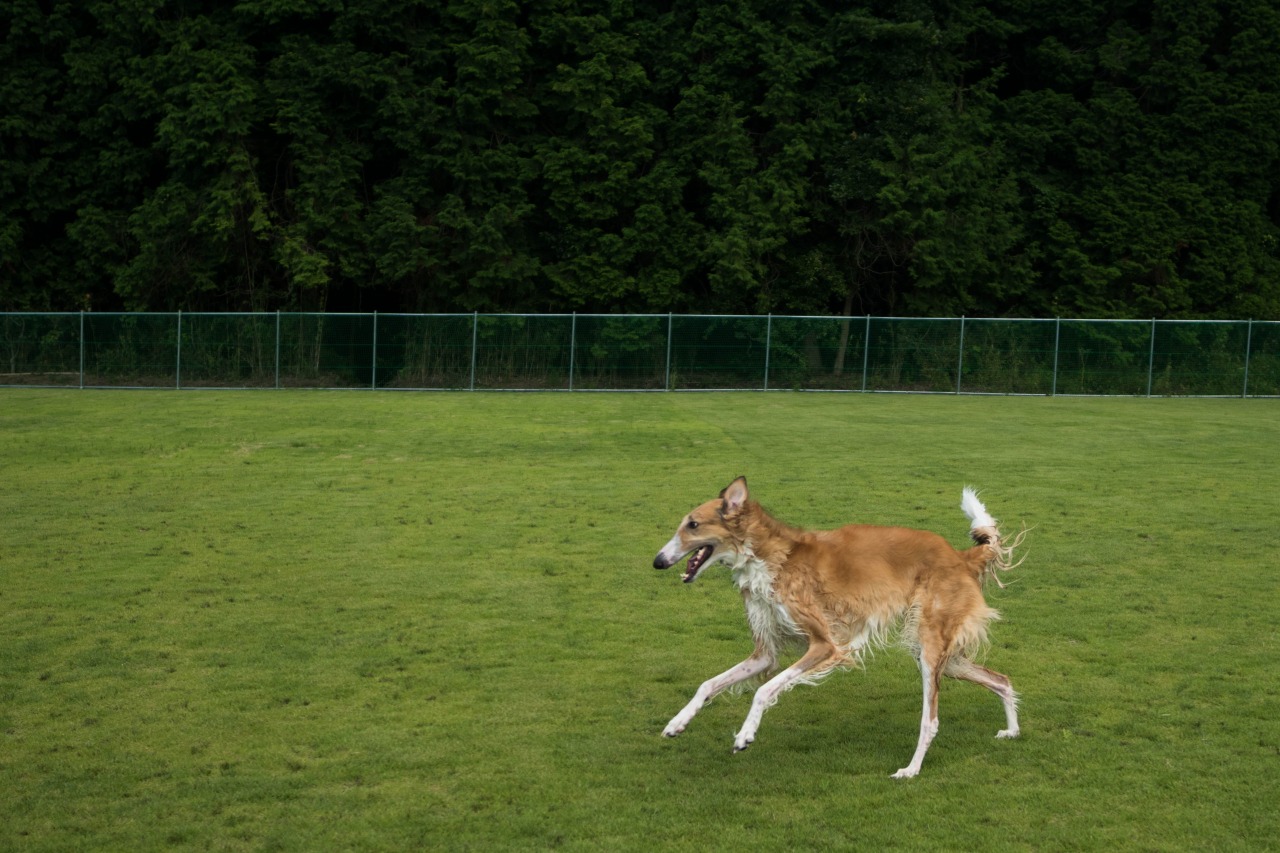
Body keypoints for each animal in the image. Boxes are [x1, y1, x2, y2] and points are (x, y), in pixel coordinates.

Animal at [655, 473, 1024, 773]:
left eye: (692, 525)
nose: (658, 561)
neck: (771, 558)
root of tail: (961, 556)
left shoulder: (824, 645)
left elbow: (763, 690)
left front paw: (745, 735)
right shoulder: (765, 653)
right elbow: (708, 684)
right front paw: (678, 723)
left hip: (931, 649)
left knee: (930, 721)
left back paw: (911, 770)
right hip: (940, 655)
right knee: (1001, 680)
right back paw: (1012, 730)